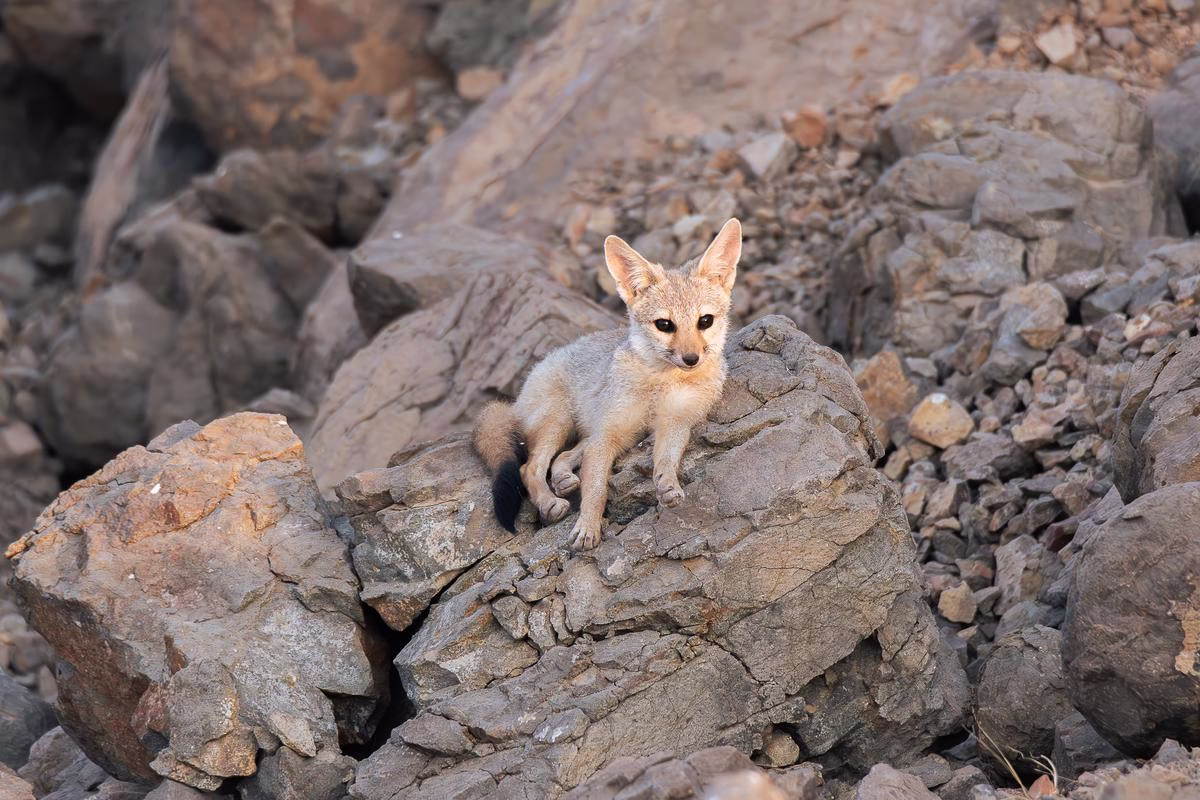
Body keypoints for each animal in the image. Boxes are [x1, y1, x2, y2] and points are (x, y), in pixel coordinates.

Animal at [473, 217, 741, 550]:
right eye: (664, 325)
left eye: (705, 321)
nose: (691, 358)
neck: (660, 383)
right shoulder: (608, 434)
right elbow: (596, 489)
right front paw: (587, 526)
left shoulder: (676, 422)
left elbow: (667, 460)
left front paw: (668, 486)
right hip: (561, 422)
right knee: (530, 467)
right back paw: (550, 502)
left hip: (604, 430)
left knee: (564, 456)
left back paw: (563, 479)